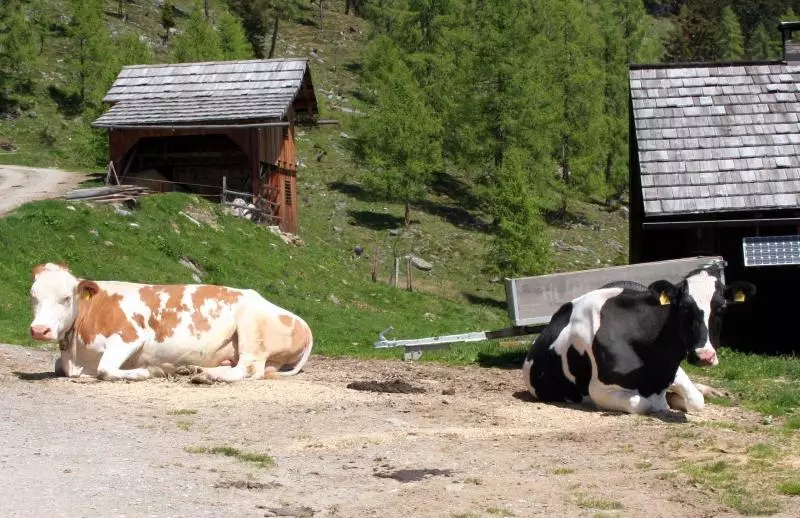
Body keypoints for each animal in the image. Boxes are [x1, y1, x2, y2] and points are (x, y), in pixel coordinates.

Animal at [28, 263, 313, 383]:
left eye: (66, 298)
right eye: (33, 296)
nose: (39, 330)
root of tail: (301, 321)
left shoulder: (130, 336)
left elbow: (105, 369)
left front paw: (151, 371)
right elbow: (57, 366)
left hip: (251, 329)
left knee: (249, 369)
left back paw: (207, 376)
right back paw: (195, 370)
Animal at [521, 266, 756, 415]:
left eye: (722, 308)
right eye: (683, 308)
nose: (704, 356)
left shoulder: (672, 371)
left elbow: (696, 400)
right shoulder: (599, 391)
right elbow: (643, 404)